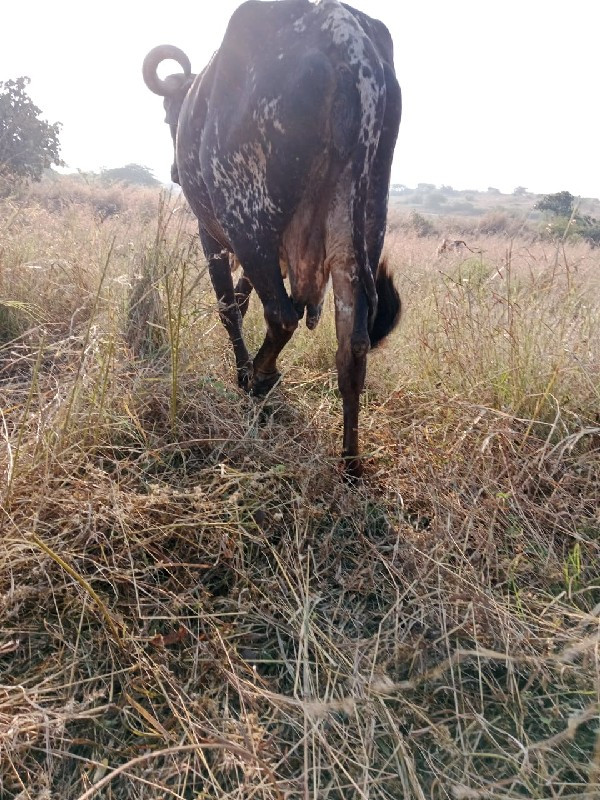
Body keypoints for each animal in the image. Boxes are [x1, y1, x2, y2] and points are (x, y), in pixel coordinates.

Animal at [142, 0, 400, 476]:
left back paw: (257, 379)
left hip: (248, 221)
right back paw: (350, 462)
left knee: (281, 316)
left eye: (171, 112)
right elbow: (243, 301)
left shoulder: (214, 234)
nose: (172, 172)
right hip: (358, 233)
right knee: (351, 347)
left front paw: (245, 369)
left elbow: (230, 307)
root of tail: (346, 36)